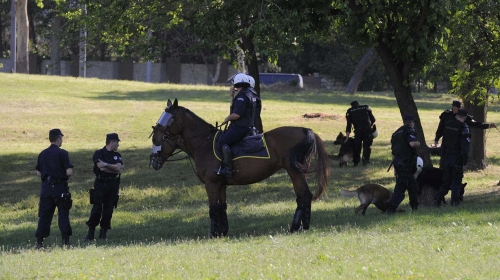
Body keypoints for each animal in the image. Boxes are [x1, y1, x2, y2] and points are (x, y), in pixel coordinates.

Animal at [149, 99, 328, 237]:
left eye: (168, 119)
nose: (153, 161)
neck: (204, 144)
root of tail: (305, 130)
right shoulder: (220, 185)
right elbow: (221, 207)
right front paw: (222, 232)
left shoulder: (211, 184)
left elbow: (212, 209)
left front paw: (213, 233)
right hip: (297, 173)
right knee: (302, 197)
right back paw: (300, 227)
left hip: (295, 172)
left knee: (304, 196)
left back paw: (298, 227)